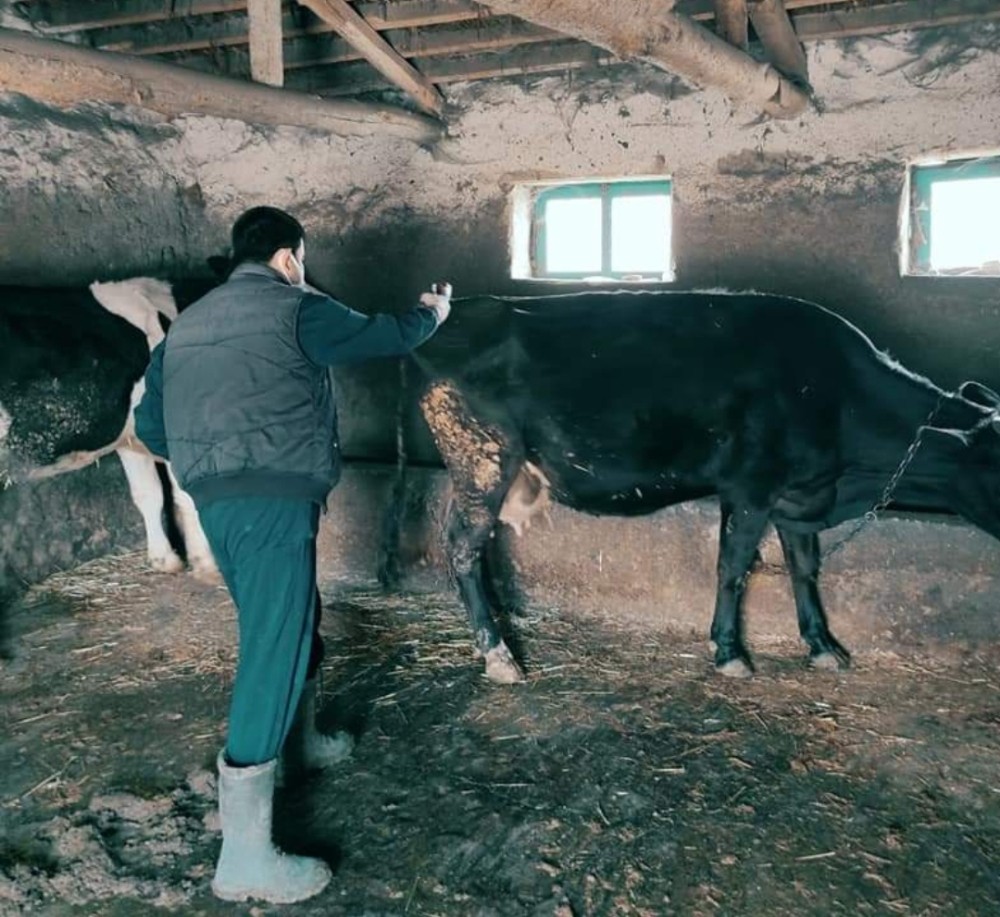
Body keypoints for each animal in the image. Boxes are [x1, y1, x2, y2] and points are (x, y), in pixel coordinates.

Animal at [406, 290, 1000, 684]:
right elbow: (733, 567)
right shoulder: (750, 486)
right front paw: (730, 651)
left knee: (480, 548)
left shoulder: (796, 495)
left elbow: (805, 569)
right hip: (482, 459)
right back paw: (499, 654)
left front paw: (823, 644)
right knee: (462, 547)